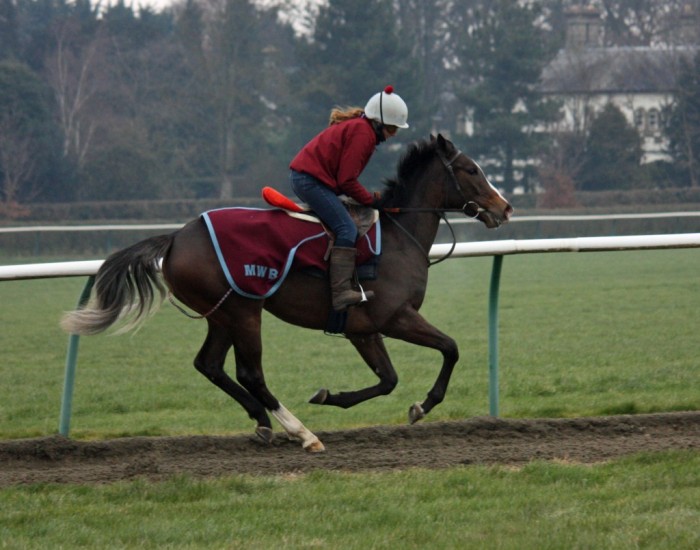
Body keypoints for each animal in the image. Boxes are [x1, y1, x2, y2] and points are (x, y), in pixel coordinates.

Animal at [63, 134, 512, 452]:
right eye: (471, 169)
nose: (505, 208)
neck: (399, 238)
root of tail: (175, 238)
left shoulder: (362, 329)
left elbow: (388, 379)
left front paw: (332, 395)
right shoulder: (394, 316)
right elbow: (449, 348)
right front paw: (422, 405)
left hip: (220, 312)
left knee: (209, 364)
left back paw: (262, 421)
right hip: (244, 311)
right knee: (251, 373)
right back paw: (301, 432)